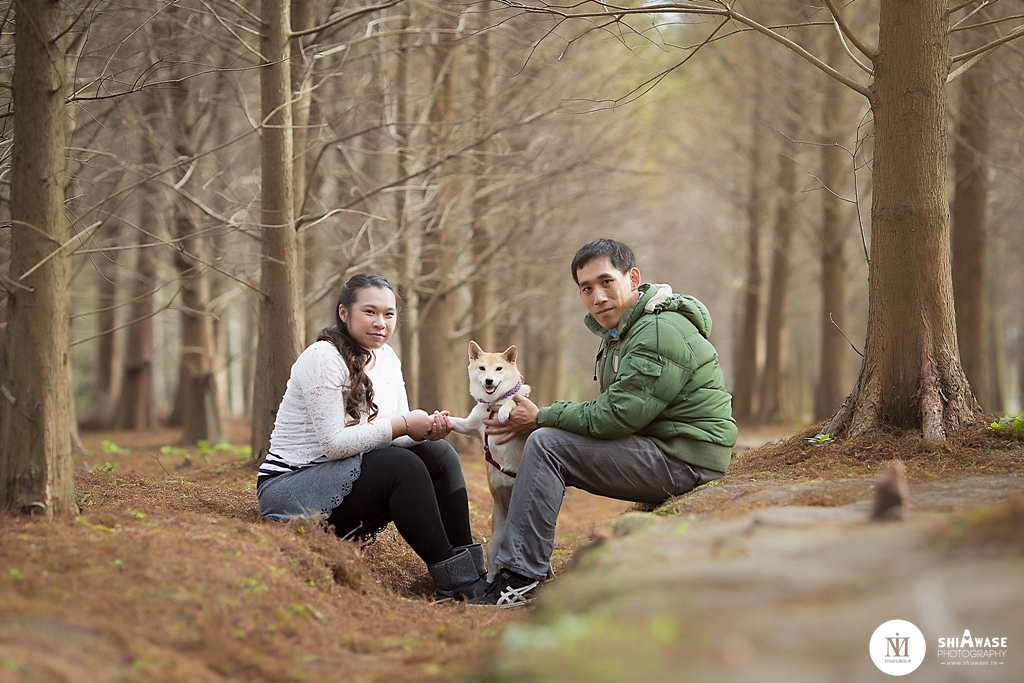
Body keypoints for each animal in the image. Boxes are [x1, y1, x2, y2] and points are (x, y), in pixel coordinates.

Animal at [450, 339, 528, 581]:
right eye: (482, 368)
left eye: (499, 369)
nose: (489, 381)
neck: (491, 405)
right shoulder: (469, 426)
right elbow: (454, 421)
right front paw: (436, 418)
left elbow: (512, 403)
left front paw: (504, 412)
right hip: (493, 546)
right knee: (493, 567)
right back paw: (490, 582)